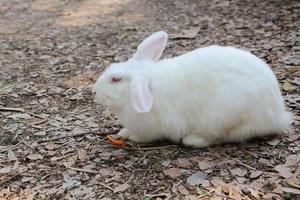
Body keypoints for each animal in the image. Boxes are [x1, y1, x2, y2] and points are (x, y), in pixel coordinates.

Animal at [92, 30, 292, 147]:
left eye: (115, 80)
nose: (94, 91)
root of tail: (277, 115)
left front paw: (132, 137)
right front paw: (123, 132)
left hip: (223, 118)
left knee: (219, 137)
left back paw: (192, 140)